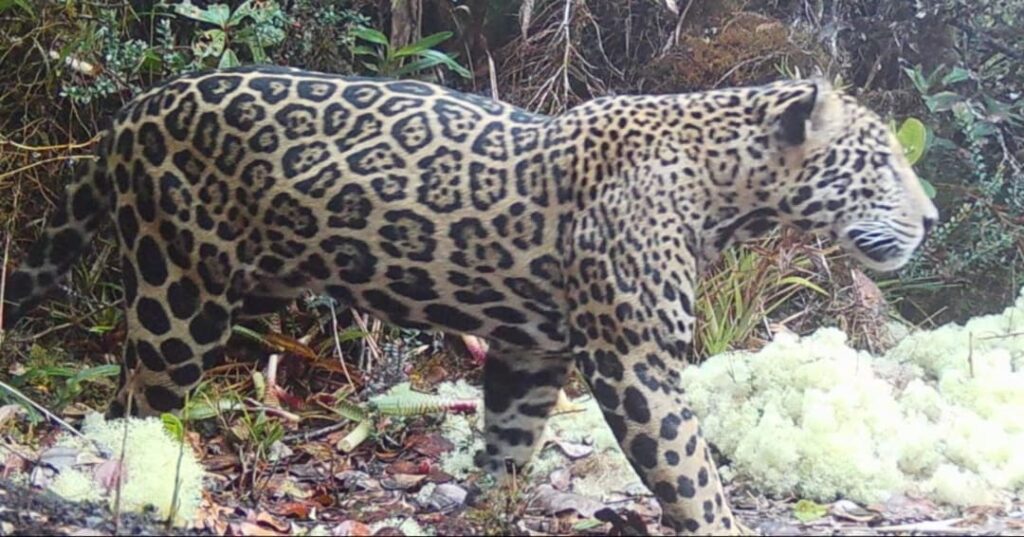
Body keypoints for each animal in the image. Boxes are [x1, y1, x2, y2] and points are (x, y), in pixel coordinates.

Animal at [1, 65, 937, 534]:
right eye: (882, 161)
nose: (930, 219)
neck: (727, 190)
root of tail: (131, 111)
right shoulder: (633, 360)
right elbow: (691, 472)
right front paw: (718, 524)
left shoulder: (533, 348)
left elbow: (512, 440)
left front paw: (491, 509)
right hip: (179, 291)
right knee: (136, 403)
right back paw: (142, 484)